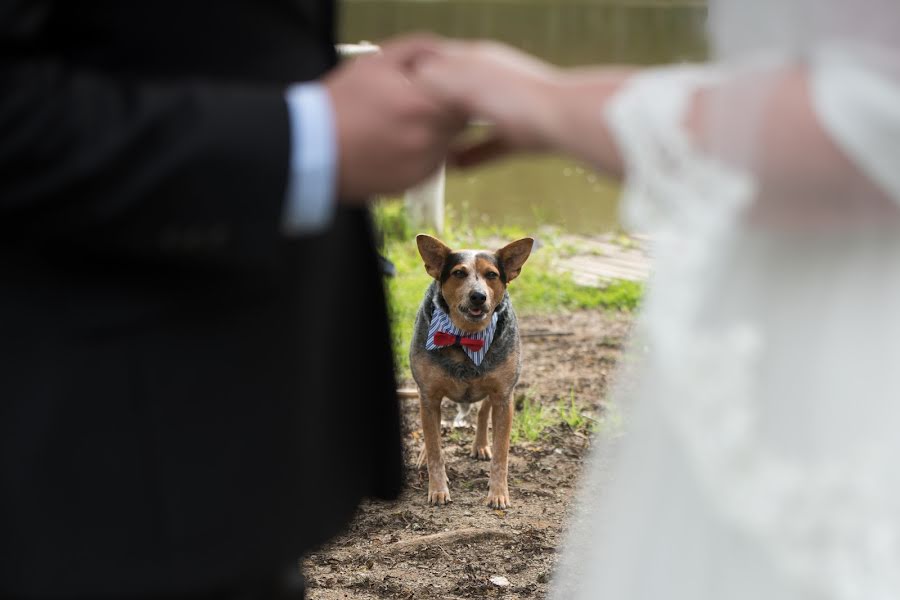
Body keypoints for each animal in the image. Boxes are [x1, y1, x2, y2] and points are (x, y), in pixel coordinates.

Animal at [410, 233, 532, 506]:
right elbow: (435, 447)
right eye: (458, 273)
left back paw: (480, 445)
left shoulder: (503, 395)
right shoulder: (429, 394)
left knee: (483, 412)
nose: (478, 296)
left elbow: (501, 453)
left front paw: (498, 493)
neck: (465, 336)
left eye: (492, 275)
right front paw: (438, 489)